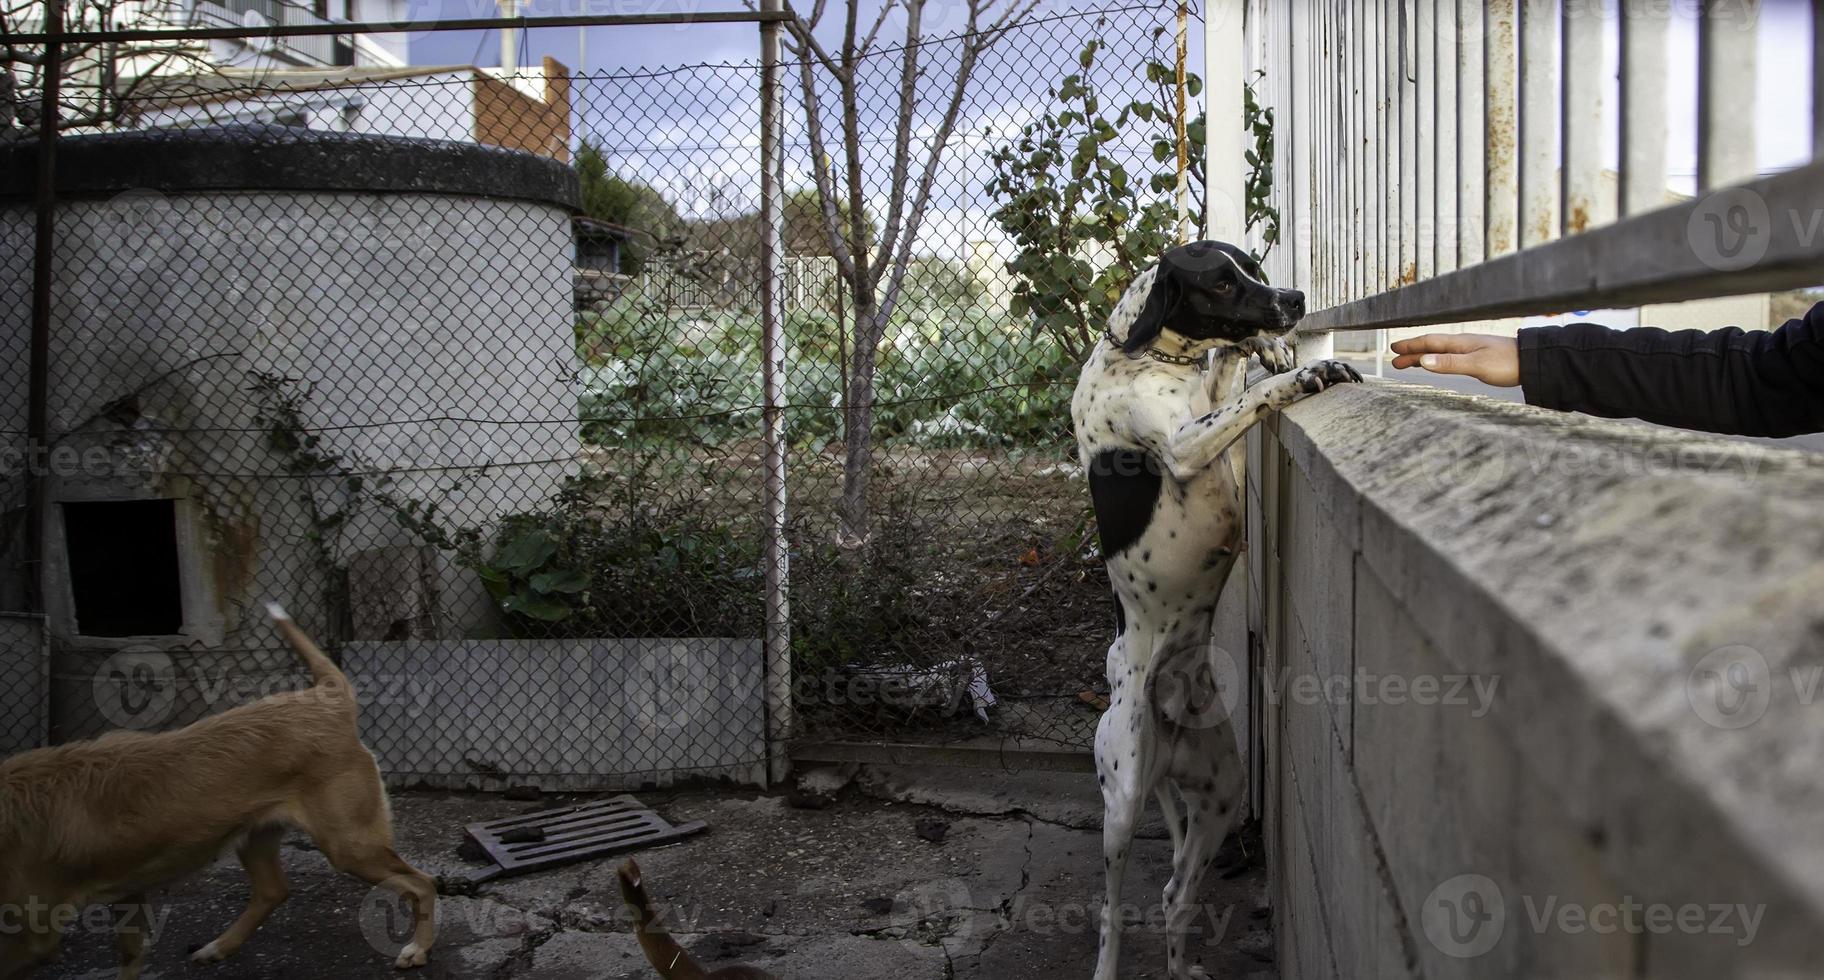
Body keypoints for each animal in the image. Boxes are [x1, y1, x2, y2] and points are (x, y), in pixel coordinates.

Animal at [0, 598, 437, 970]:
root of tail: (324, 697)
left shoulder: (33, 933)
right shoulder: (128, 893)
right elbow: (130, 956)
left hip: (349, 846)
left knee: (422, 883)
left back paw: (416, 950)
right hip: (257, 835)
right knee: (273, 891)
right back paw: (217, 947)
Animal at [1065, 239, 1357, 978]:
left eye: (1251, 265)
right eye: (1221, 282)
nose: (1294, 300)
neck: (1145, 355)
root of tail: (1166, 724)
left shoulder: (1205, 405)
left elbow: (1230, 370)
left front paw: (1270, 347)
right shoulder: (1185, 444)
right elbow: (1249, 396)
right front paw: (1304, 370)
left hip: (1221, 794)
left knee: (1174, 895)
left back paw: (1182, 964)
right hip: (1123, 798)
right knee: (1111, 908)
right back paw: (1107, 964)